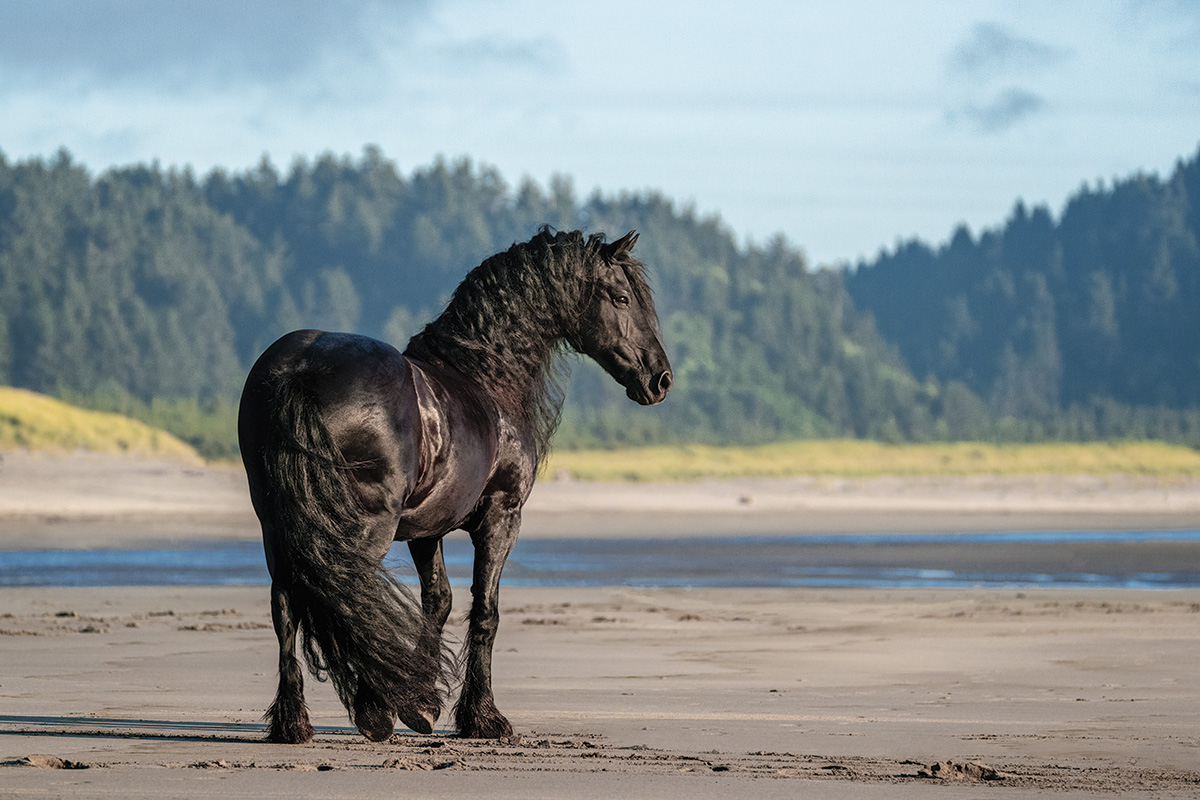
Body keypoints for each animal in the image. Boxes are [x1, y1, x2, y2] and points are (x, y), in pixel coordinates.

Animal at [234, 230, 667, 743]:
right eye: (621, 298)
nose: (660, 378)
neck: (485, 376)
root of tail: (302, 369)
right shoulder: (501, 517)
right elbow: (485, 612)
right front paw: (481, 716)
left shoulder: (427, 528)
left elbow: (437, 602)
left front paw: (421, 703)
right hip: (364, 525)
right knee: (349, 593)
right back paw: (371, 710)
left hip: (278, 525)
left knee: (286, 605)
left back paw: (293, 721)